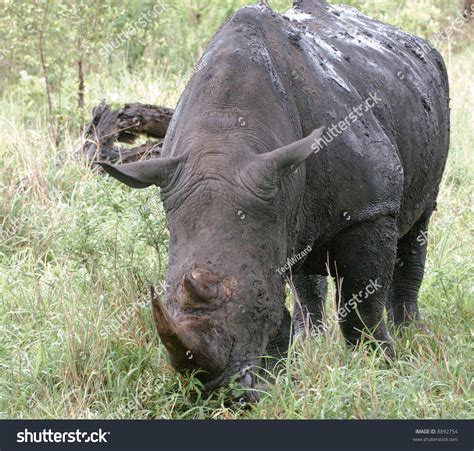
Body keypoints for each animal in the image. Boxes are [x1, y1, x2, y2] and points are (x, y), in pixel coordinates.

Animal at [99, 0, 448, 396]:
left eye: (259, 299)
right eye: (168, 299)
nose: (218, 392)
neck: (227, 134)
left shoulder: (370, 210)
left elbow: (362, 302)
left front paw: (379, 366)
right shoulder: (271, 188)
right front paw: (277, 376)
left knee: (419, 223)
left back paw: (411, 332)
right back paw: (310, 342)